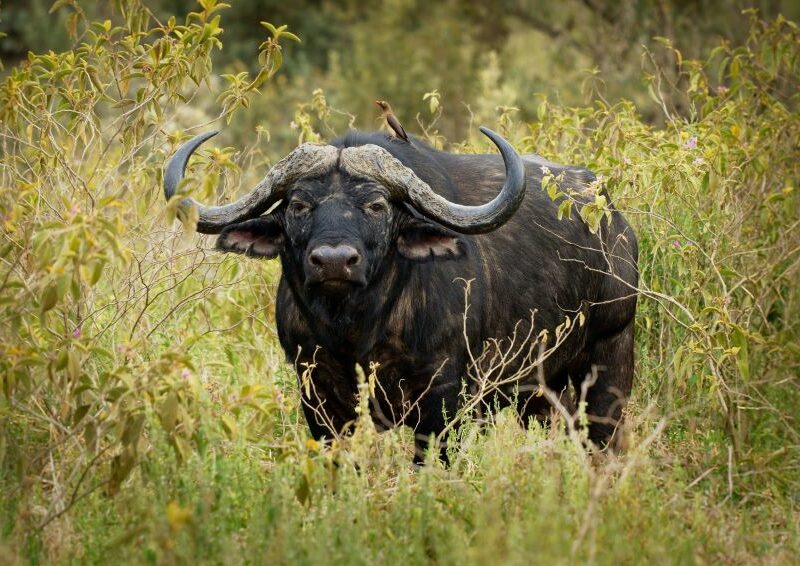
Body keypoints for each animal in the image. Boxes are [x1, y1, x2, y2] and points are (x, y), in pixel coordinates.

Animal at [163, 126, 638, 463]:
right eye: (298, 205)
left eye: (376, 206)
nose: (333, 261)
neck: (357, 329)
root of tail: (612, 220)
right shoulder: (317, 394)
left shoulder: (443, 400)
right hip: (538, 393)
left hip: (609, 361)